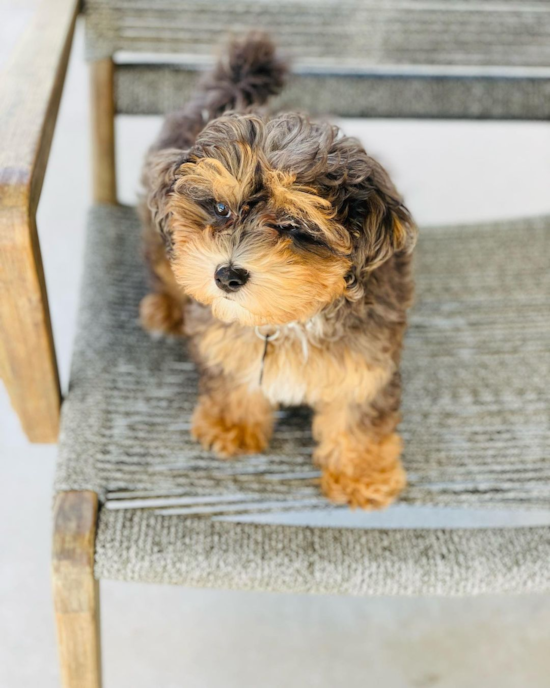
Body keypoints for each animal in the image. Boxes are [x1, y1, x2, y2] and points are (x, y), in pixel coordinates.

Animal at [140, 33, 416, 510]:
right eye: (220, 208)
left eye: (292, 226)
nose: (226, 276)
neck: (290, 320)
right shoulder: (224, 336)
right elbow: (234, 372)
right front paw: (232, 424)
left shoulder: (366, 358)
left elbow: (357, 411)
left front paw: (362, 474)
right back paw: (166, 308)